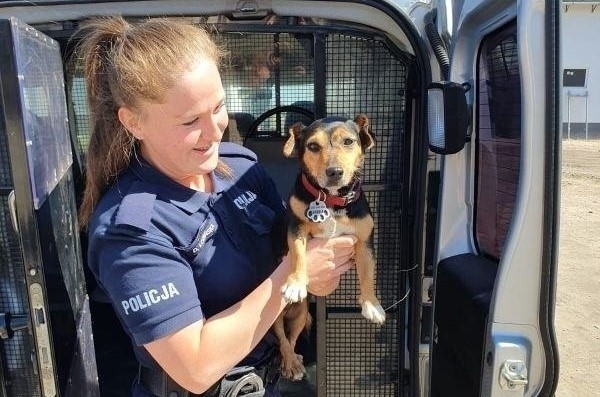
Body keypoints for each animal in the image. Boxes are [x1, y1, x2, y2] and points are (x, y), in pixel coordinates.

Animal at [272, 114, 384, 380]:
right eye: (313, 146)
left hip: (302, 314)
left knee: (292, 340)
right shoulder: (296, 229)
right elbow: (298, 255)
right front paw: (295, 283)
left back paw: (294, 361)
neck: (330, 199)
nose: (334, 172)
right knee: (282, 339)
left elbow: (368, 273)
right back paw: (291, 364)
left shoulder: (365, 241)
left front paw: (372, 304)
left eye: (348, 141)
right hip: (277, 319)